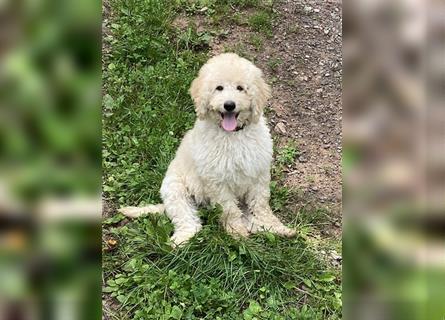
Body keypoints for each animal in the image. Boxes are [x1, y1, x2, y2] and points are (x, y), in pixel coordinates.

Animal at [119, 53, 296, 246]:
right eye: (219, 88)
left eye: (240, 88)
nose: (229, 105)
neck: (233, 135)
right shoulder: (217, 181)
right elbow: (230, 210)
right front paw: (236, 233)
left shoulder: (258, 174)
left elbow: (261, 205)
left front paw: (274, 225)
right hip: (175, 191)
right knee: (189, 221)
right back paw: (180, 240)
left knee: (249, 219)